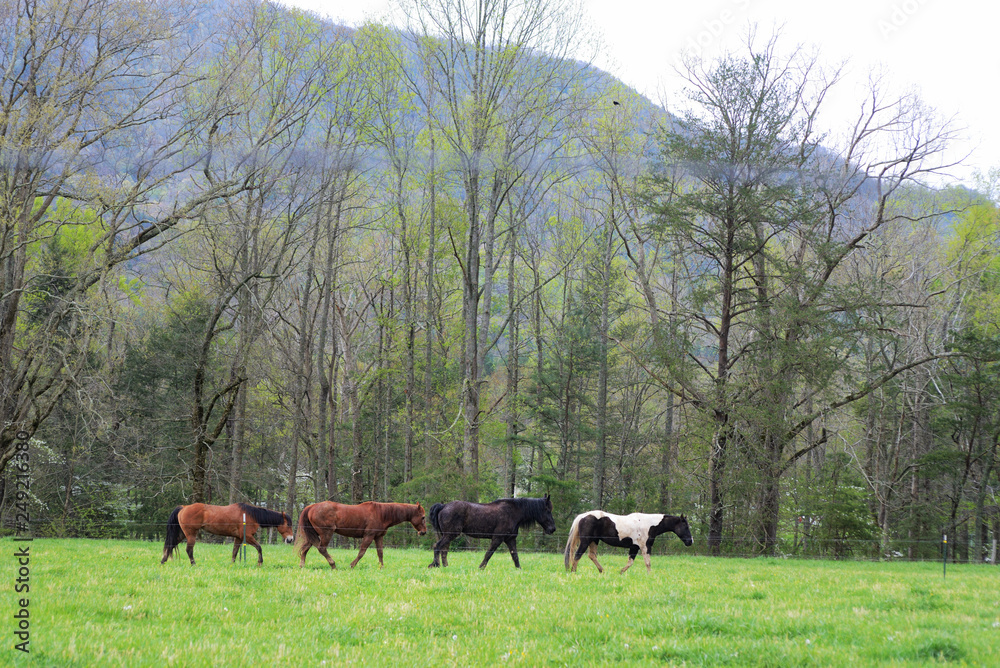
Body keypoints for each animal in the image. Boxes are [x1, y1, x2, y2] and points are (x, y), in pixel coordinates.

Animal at [161, 502, 294, 566]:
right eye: (288, 524)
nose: (290, 539)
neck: (251, 515)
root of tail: (184, 507)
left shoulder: (239, 538)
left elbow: (235, 552)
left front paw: (232, 564)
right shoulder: (248, 537)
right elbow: (259, 547)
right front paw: (260, 562)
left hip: (182, 534)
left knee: (170, 545)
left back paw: (163, 561)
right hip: (190, 535)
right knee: (189, 550)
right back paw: (194, 564)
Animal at [296, 501, 427, 569]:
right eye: (423, 517)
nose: (423, 532)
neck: (382, 513)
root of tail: (312, 506)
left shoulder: (378, 537)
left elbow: (380, 553)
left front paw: (381, 567)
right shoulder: (369, 536)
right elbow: (361, 552)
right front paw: (352, 565)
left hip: (314, 534)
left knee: (306, 548)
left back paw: (302, 565)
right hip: (326, 533)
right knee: (322, 548)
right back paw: (333, 565)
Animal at [427, 495, 556, 569]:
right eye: (547, 510)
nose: (553, 529)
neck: (513, 512)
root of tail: (443, 506)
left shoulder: (510, 539)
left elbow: (515, 556)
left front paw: (519, 569)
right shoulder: (497, 538)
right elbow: (489, 554)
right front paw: (480, 567)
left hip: (447, 535)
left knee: (444, 550)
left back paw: (445, 566)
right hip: (450, 534)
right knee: (437, 546)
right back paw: (436, 564)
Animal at [564, 511, 692, 574]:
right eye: (685, 526)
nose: (690, 541)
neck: (650, 524)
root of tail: (582, 516)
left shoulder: (634, 547)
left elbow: (630, 562)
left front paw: (620, 572)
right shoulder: (645, 547)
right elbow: (647, 563)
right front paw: (650, 575)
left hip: (594, 541)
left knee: (592, 555)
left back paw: (602, 571)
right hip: (586, 541)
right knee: (577, 555)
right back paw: (573, 572)